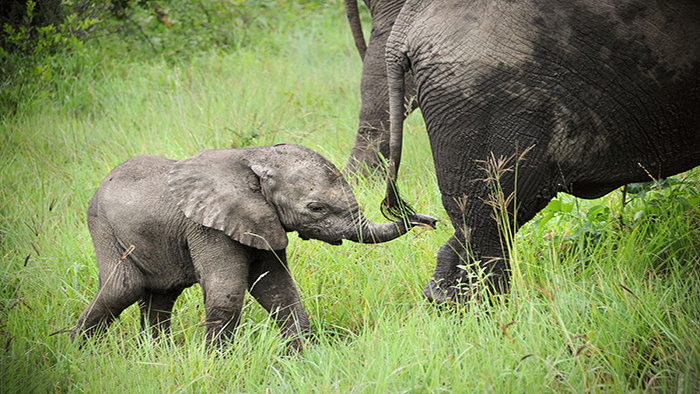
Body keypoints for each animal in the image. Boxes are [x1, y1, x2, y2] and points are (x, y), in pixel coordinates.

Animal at [69, 145, 432, 350]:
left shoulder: (262, 222)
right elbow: (228, 293)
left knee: (160, 295)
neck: (253, 156)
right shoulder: (208, 226)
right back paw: (75, 353)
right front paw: (215, 365)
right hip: (103, 226)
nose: (427, 219)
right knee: (123, 287)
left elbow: (277, 290)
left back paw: (157, 357)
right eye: (316, 208)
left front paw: (308, 358)